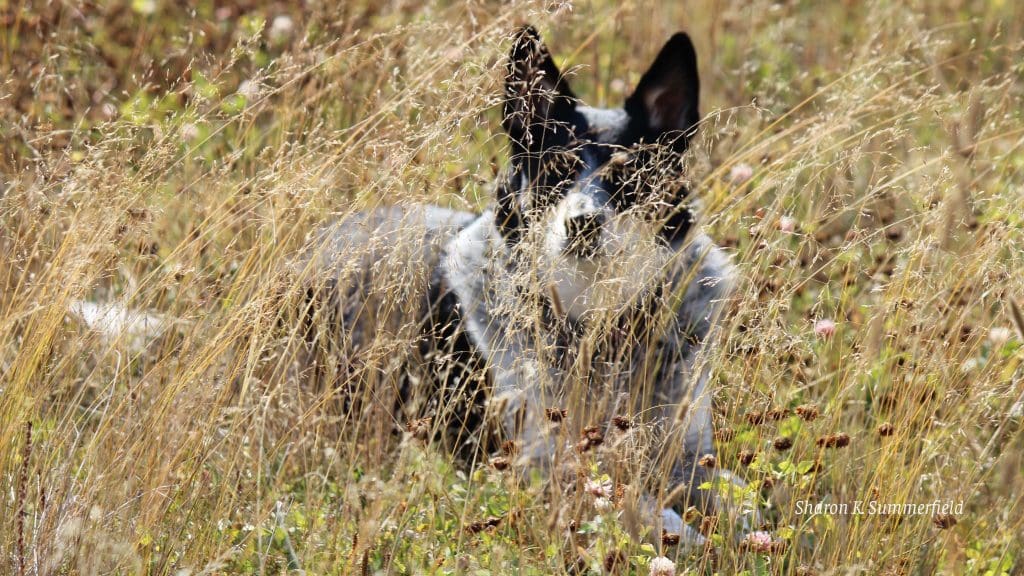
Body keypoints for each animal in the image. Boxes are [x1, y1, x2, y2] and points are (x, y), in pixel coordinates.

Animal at [299, 23, 757, 541]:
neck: (592, 322)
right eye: (555, 172)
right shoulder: (548, 464)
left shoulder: (686, 450)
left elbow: (745, 500)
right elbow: (655, 516)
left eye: (628, 177)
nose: (583, 223)